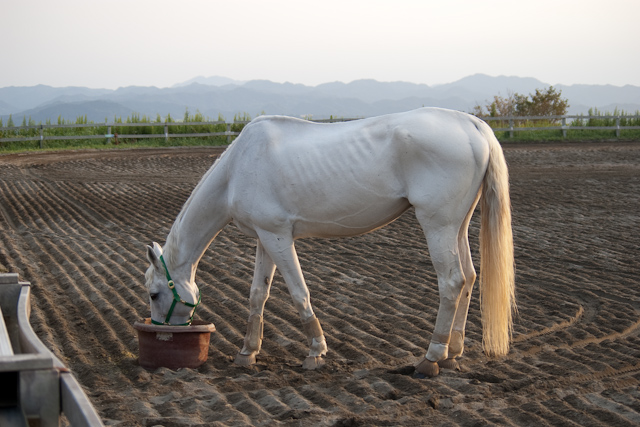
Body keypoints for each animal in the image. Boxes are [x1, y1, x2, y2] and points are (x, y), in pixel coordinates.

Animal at [144, 107, 515, 377]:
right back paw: (453, 353)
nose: (163, 334)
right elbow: (257, 295)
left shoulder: (279, 238)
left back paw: (432, 357)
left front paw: (315, 352)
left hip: (438, 225)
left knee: (452, 282)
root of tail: (473, 125)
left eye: (154, 294)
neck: (238, 168)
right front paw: (247, 352)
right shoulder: (266, 238)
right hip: (458, 226)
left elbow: (299, 293)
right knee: (469, 278)